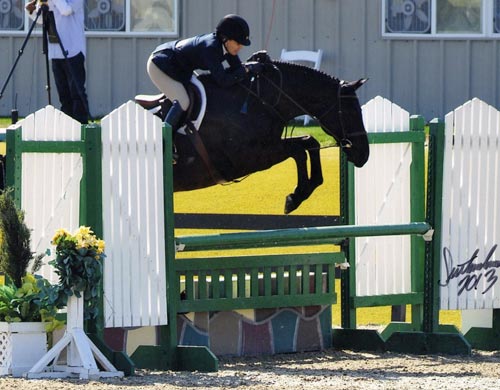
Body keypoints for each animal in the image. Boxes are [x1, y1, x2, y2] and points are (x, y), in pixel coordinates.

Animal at [168, 53, 368, 213]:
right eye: (351, 111)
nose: (364, 155)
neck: (261, 100)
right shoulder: (249, 158)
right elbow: (299, 150)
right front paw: (294, 198)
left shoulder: (269, 145)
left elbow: (309, 141)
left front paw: (301, 193)